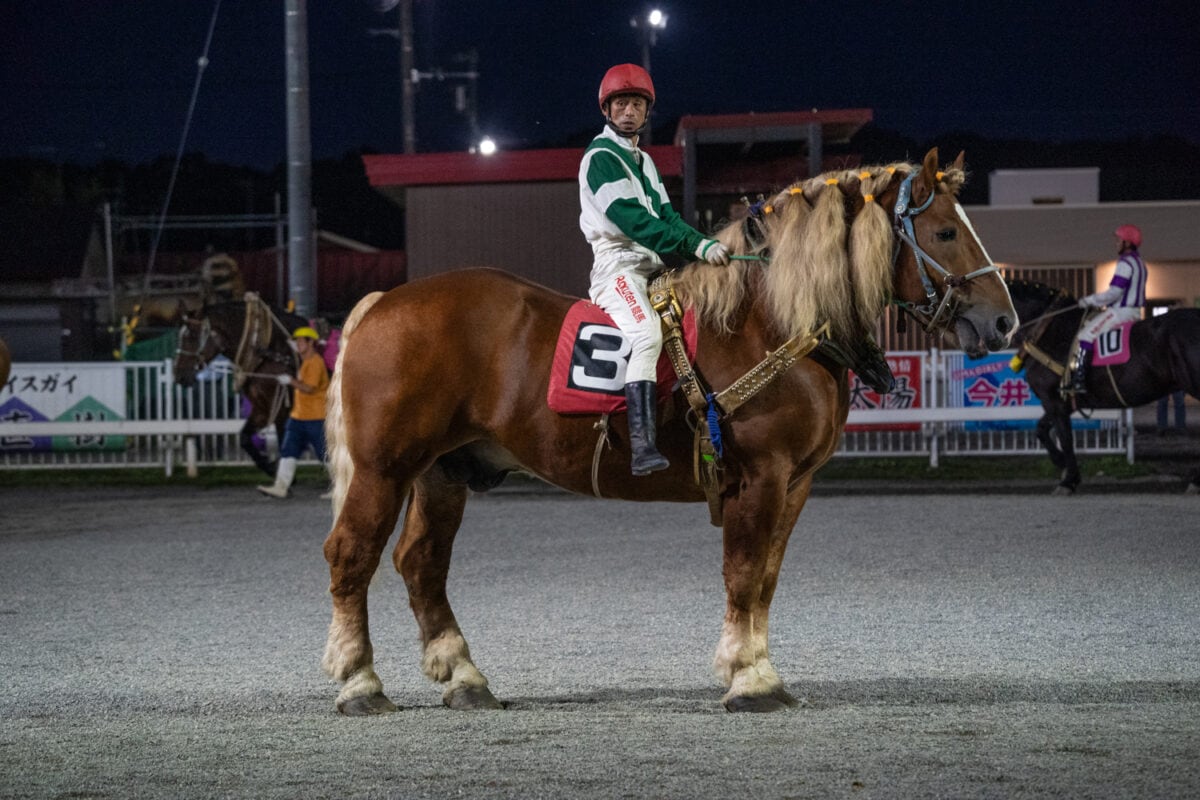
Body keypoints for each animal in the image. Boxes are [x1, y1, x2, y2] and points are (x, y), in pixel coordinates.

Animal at [172, 298, 307, 474]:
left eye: (192, 336)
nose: (178, 374)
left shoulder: (282, 410)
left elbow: (286, 449)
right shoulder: (263, 409)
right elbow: (244, 438)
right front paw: (269, 466)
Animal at [314, 146, 1017, 714]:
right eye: (945, 230)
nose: (1005, 321)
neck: (765, 320)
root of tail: (385, 301)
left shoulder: (796, 485)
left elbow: (766, 580)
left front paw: (762, 669)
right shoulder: (761, 479)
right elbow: (743, 572)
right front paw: (749, 678)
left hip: (444, 471)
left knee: (421, 563)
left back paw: (463, 676)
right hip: (385, 469)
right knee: (352, 556)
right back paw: (359, 683)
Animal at [1008, 280, 1195, 494]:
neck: (1051, 330)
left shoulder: (1053, 401)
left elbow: (1066, 438)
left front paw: (1068, 479)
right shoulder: (1061, 403)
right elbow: (1041, 430)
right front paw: (1063, 466)